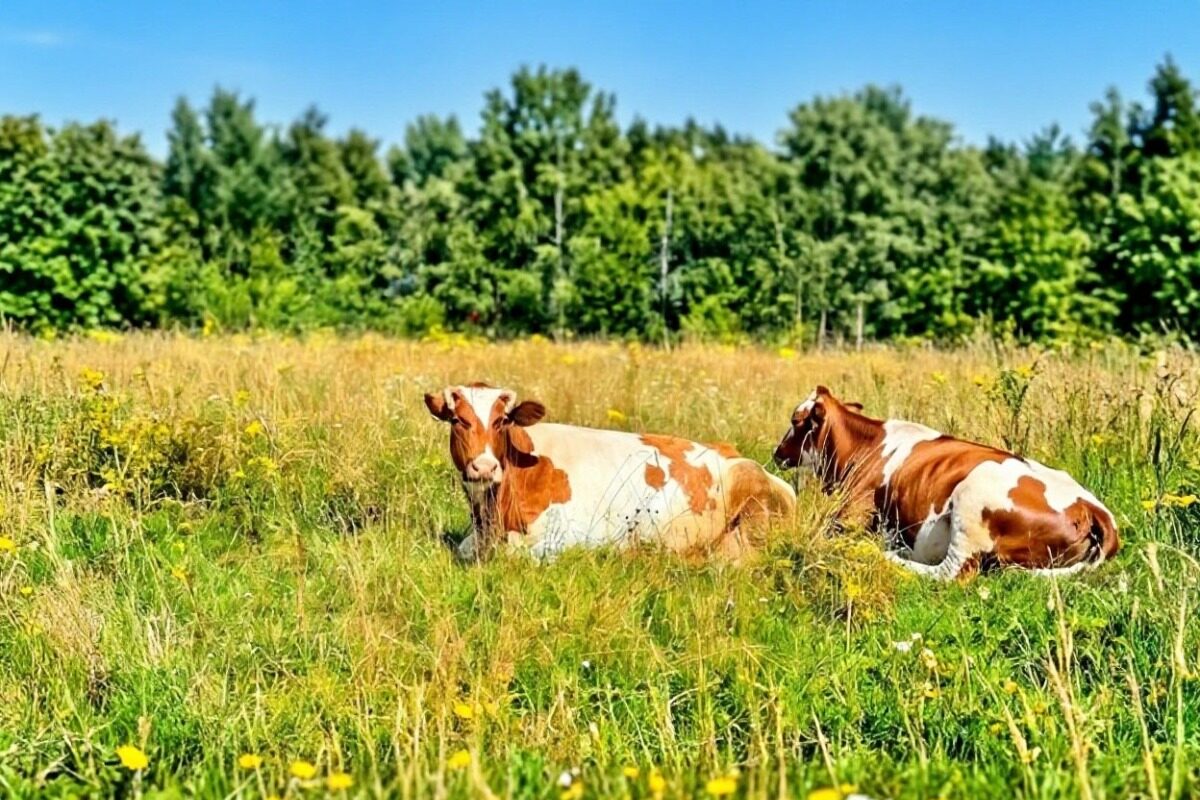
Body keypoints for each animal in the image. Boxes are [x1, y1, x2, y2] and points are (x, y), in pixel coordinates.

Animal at [772, 386, 1119, 579]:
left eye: (795, 421)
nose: (776, 453)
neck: (865, 446)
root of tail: (1093, 509)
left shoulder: (851, 514)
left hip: (973, 498)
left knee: (951, 573)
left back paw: (891, 557)